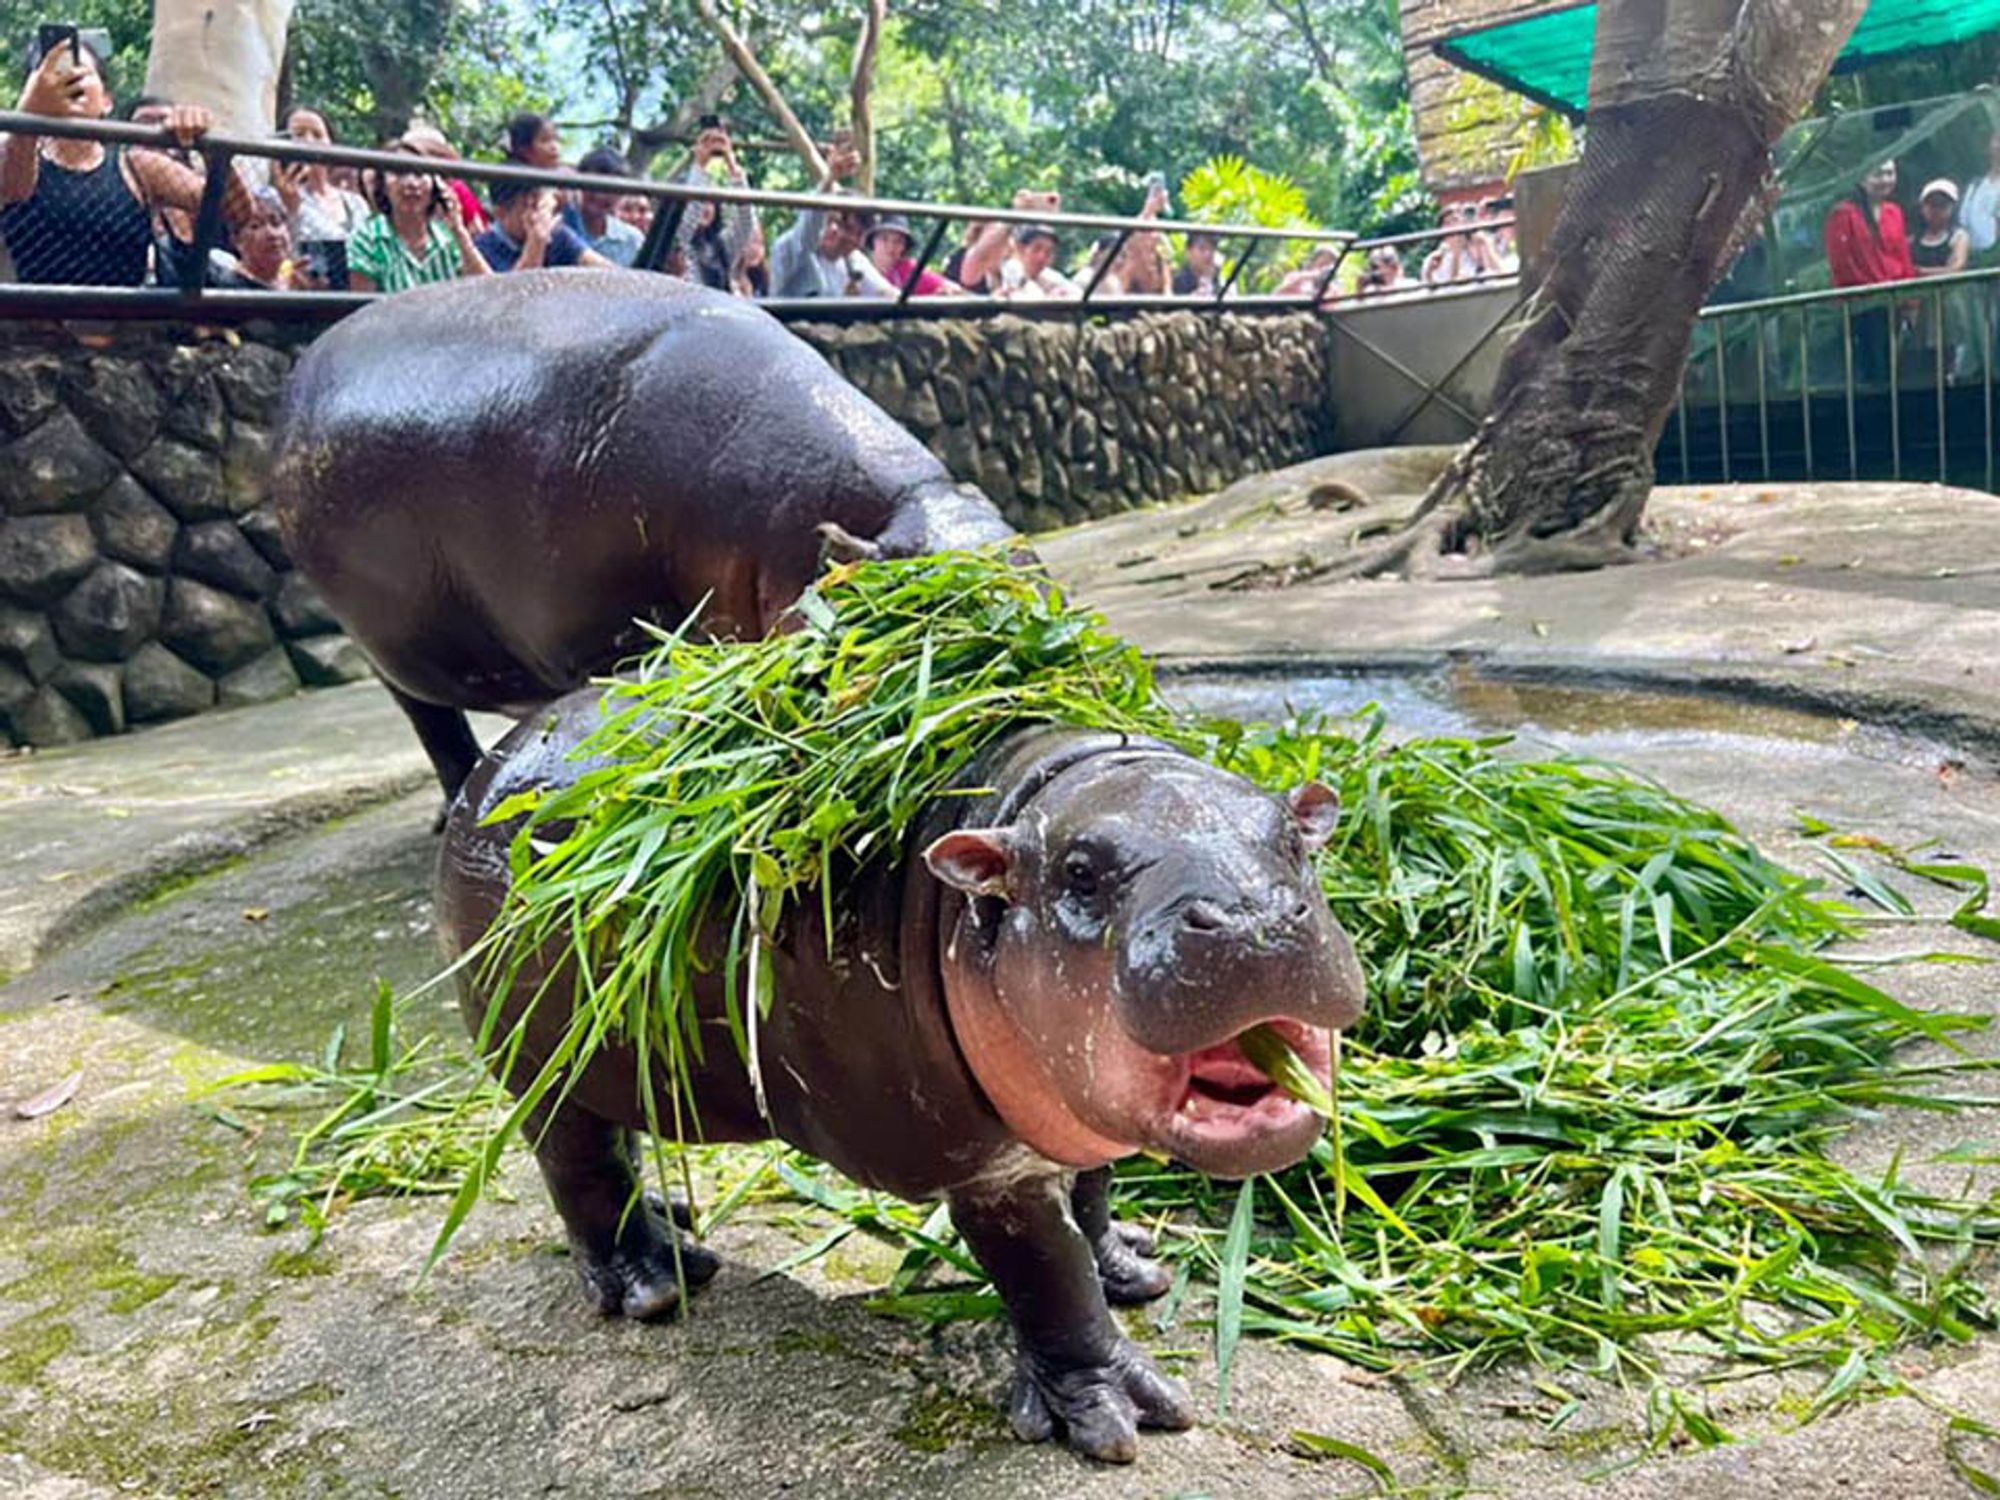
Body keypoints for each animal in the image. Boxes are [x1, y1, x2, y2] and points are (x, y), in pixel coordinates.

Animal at [270, 274, 1016, 804]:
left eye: (1036, 581)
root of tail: (298, 376)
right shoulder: (589, 640)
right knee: (434, 727)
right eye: (918, 622)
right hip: (391, 657)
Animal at [438, 704, 1368, 1472]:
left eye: (1295, 840)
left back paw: (676, 1224)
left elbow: (1093, 1193)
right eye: (1078, 873)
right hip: (540, 1067)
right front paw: (1113, 1416)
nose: (1251, 920)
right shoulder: (987, 1171)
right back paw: (654, 1282)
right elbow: (1049, 1268)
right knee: (580, 1166)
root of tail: (486, 771)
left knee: (619, 1141)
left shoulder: (1066, 1107)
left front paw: (1134, 1272)